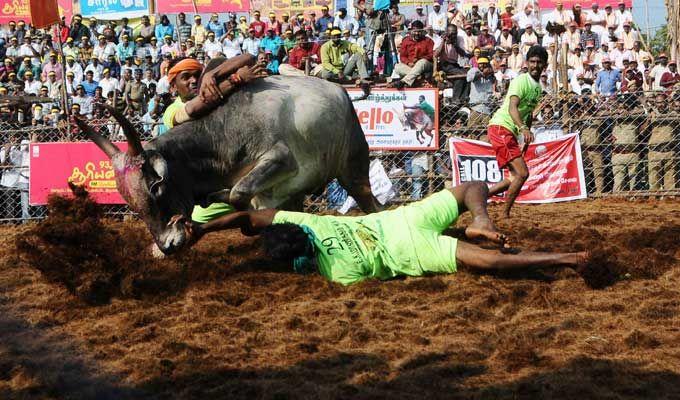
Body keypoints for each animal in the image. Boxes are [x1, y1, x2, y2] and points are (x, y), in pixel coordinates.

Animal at [78, 76, 382, 255]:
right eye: (129, 200)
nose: (167, 246)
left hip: (353, 169)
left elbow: (238, 193)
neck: (221, 135)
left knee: (371, 203)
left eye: (155, 188)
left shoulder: (280, 158)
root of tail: (339, 90)